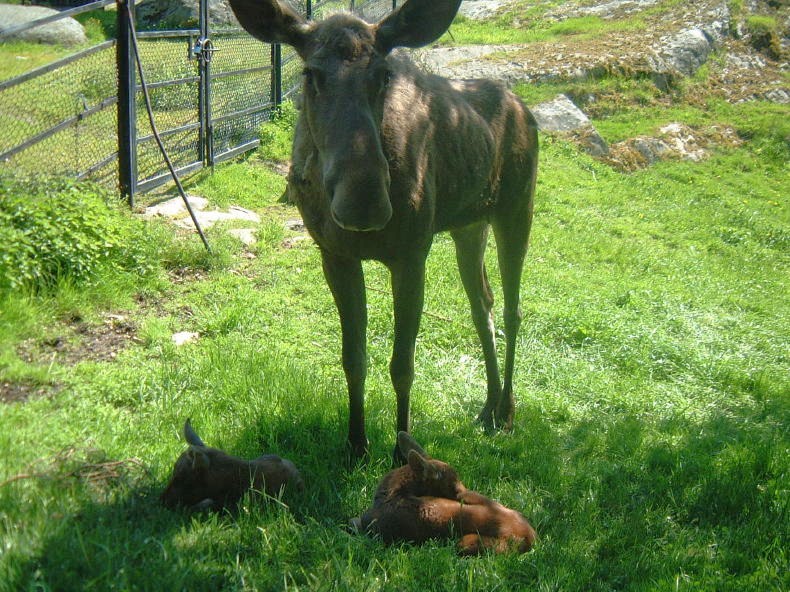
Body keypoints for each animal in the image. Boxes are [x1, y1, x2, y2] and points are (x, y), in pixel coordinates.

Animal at [228, 0, 538, 458]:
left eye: (384, 75)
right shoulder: (335, 255)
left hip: (517, 207)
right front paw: (356, 444)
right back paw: (488, 406)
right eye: (310, 74)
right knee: (483, 303)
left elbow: (403, 365)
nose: (364, 202)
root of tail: (524, 108)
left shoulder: (412, 255)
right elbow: (353, 358)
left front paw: (402, 450)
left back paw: (507, 410)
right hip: (469, 223)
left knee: (514, 309)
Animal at [352, 432, 537, 554]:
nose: (460, 491)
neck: (391, 492)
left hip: (466, 540)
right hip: (483, 501)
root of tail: (532, 536)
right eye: (453, 487)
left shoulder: (369, 526)